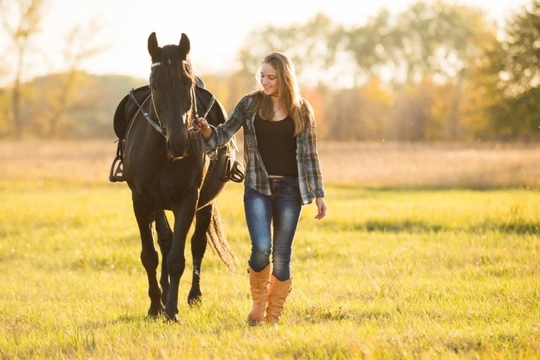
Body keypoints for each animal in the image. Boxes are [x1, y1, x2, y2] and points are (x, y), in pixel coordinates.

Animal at [113, 33, 239, 320]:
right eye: (156, 85)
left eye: (187, 82)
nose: (179, 143)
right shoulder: (142, 201)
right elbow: (151, 254)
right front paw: (155, 306)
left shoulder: (189, 199)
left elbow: (177, 257)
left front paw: (171, 309)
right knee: (165, 242)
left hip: (206, 204)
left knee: (197, 244)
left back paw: (193, 296)